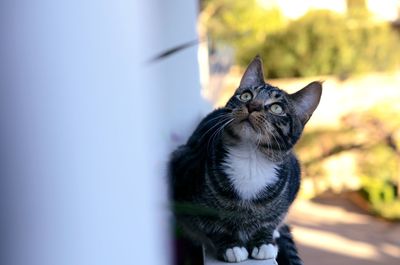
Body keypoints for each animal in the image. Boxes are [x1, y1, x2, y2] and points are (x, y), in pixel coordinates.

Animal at [170, 55, 322, 262]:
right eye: (246, 96)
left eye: (276, 108)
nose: (252, 106)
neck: (251, 158)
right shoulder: (185, 178)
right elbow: (211, 223)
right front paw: (231, 246)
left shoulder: (293, 179)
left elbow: (272, 219)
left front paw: (264, 241)